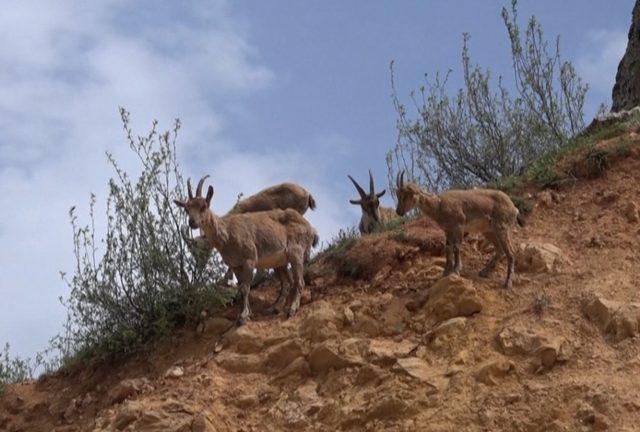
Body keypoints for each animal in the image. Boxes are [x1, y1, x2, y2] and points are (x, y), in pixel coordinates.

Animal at [174, 176, 318, 324]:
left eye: (203, 206)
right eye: (187, 209)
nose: (192, 222)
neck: (227, 233)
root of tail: (310, 229)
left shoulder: (249, 259)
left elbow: (245, 287)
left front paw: (243, 316)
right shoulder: (236, 265)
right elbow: (242, 286)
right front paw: (246, 313)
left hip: (296, 252)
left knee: (299, 281)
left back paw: (292, 309)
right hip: (280, 262)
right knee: (287, 283)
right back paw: (274, 308)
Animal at [396, 170, 524, 288]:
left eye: (406, 194)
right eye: (398, 194)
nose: (399, 212)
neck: (439, 205)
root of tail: (514, 208)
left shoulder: (458, 226)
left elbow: (456, 247)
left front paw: (456, 270)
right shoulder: (448, 230)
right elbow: (448, 248)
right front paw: (445, 273)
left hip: (502, 228)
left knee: (510, 252)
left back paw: (508, 283)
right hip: (489, 231)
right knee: (500, 250)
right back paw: (484, 272)